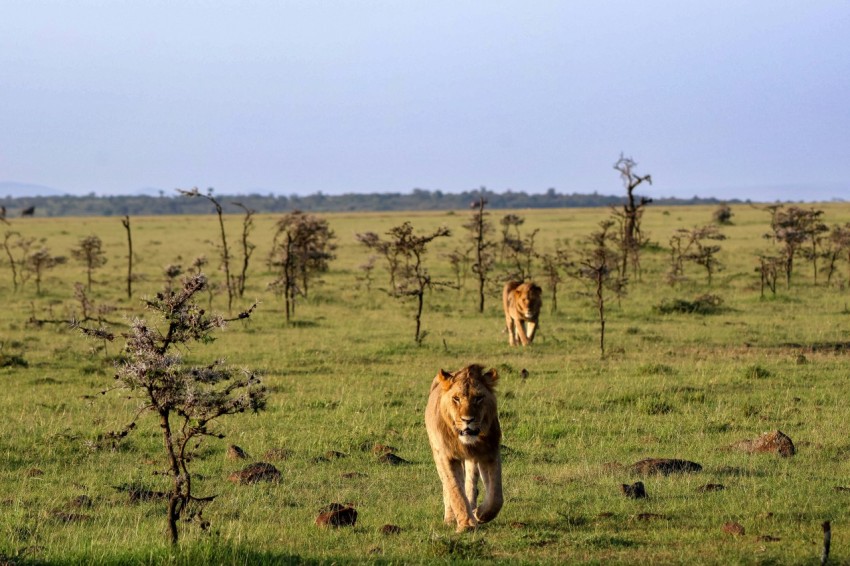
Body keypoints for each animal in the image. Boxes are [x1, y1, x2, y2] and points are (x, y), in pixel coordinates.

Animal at [422, 366, 500, 536]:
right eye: (456, 399)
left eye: (478, 398)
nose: (467, 420)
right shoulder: (447, 457)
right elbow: (455, 490)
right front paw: (467, 525)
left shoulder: (490, 452)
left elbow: (496, 496)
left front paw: (479, 514)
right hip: (436, 452)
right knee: (447, 486)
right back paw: (451, 518)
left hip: (472, 461)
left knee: (471, 483)